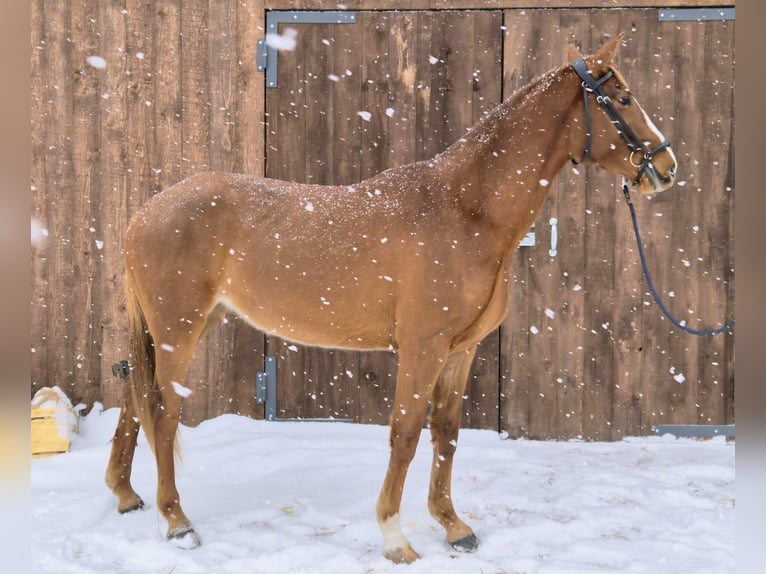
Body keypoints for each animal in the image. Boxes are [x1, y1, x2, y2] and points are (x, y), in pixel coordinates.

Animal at [105, 34, 676, 563]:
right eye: (624, 99)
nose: (666, 166)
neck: (464, 210)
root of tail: (143, 214)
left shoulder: (460, 350)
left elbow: (446, 432)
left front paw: (453, 526)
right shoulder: (422, 348)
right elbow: (405, 433)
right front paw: (395, 538)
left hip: (184, 325)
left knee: (134, 393)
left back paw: (126, 494)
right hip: (179, 329)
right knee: (162, 410)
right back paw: (177, 521)